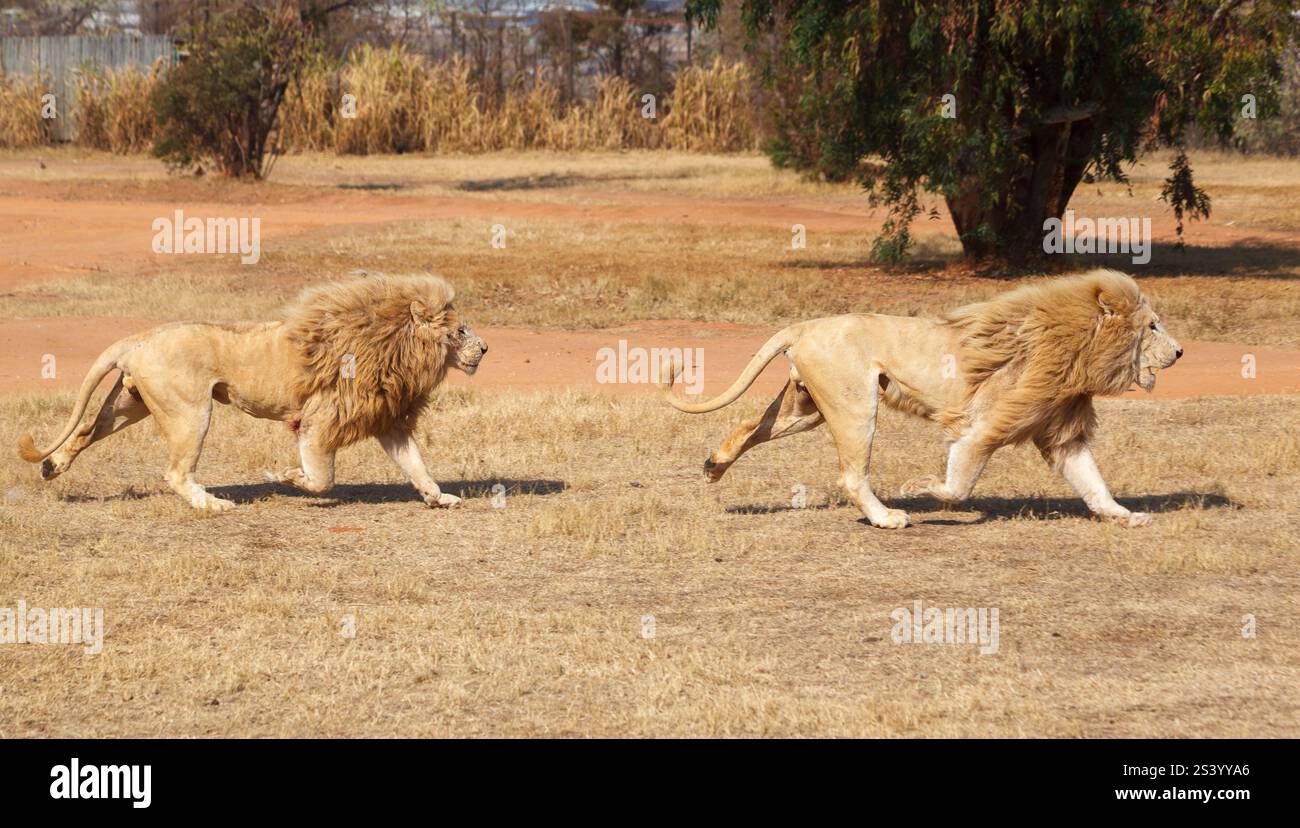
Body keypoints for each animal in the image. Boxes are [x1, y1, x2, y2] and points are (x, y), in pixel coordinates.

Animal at [18, 274, 487, 512]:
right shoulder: (321, 419)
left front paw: (439, 497)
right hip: (191, 411)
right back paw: (212, 505)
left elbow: (417, 465)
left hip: (131, 403)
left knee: (85, 431)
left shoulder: (386, 418)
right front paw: (286, 477)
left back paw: (52, 467)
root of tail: (140, 338)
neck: (396, 343)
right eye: (462, 330)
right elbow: (322, 479)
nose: (485, 348)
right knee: (175, 472)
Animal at [659, 269, 1182, 529]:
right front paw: (921, 488)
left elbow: (1093, 482)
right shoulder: (987, 423)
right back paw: (887, 518)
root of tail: (804, 326)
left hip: (804, 408)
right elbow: (960, 482)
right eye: (1153, 326)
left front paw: (1125, 515)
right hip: (855, 406)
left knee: (751, 428)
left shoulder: (1060, 432)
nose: (1180, 351)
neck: (1074, 344)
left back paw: (713, 466)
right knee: (852, 476)